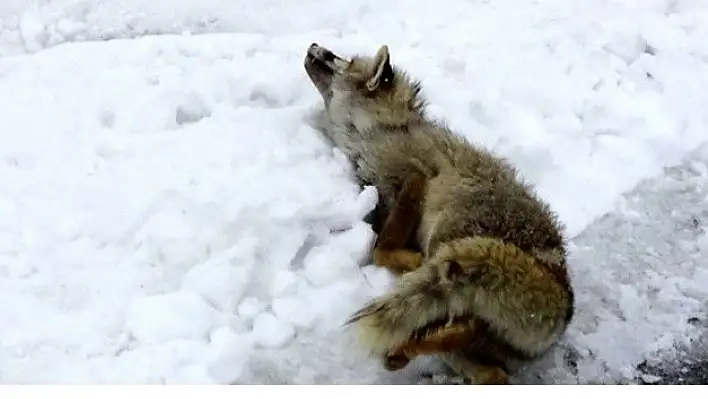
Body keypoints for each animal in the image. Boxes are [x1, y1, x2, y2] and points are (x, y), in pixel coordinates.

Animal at [302, 43, 576, 384]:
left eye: (342, 59)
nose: (314, 46)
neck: (379, 130)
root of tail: (565, 305)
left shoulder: (413, 179)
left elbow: (381, 249)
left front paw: (406, 258)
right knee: (488, 366)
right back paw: (406, 352)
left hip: (447, 239)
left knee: (462, 323)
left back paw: (408, 343)